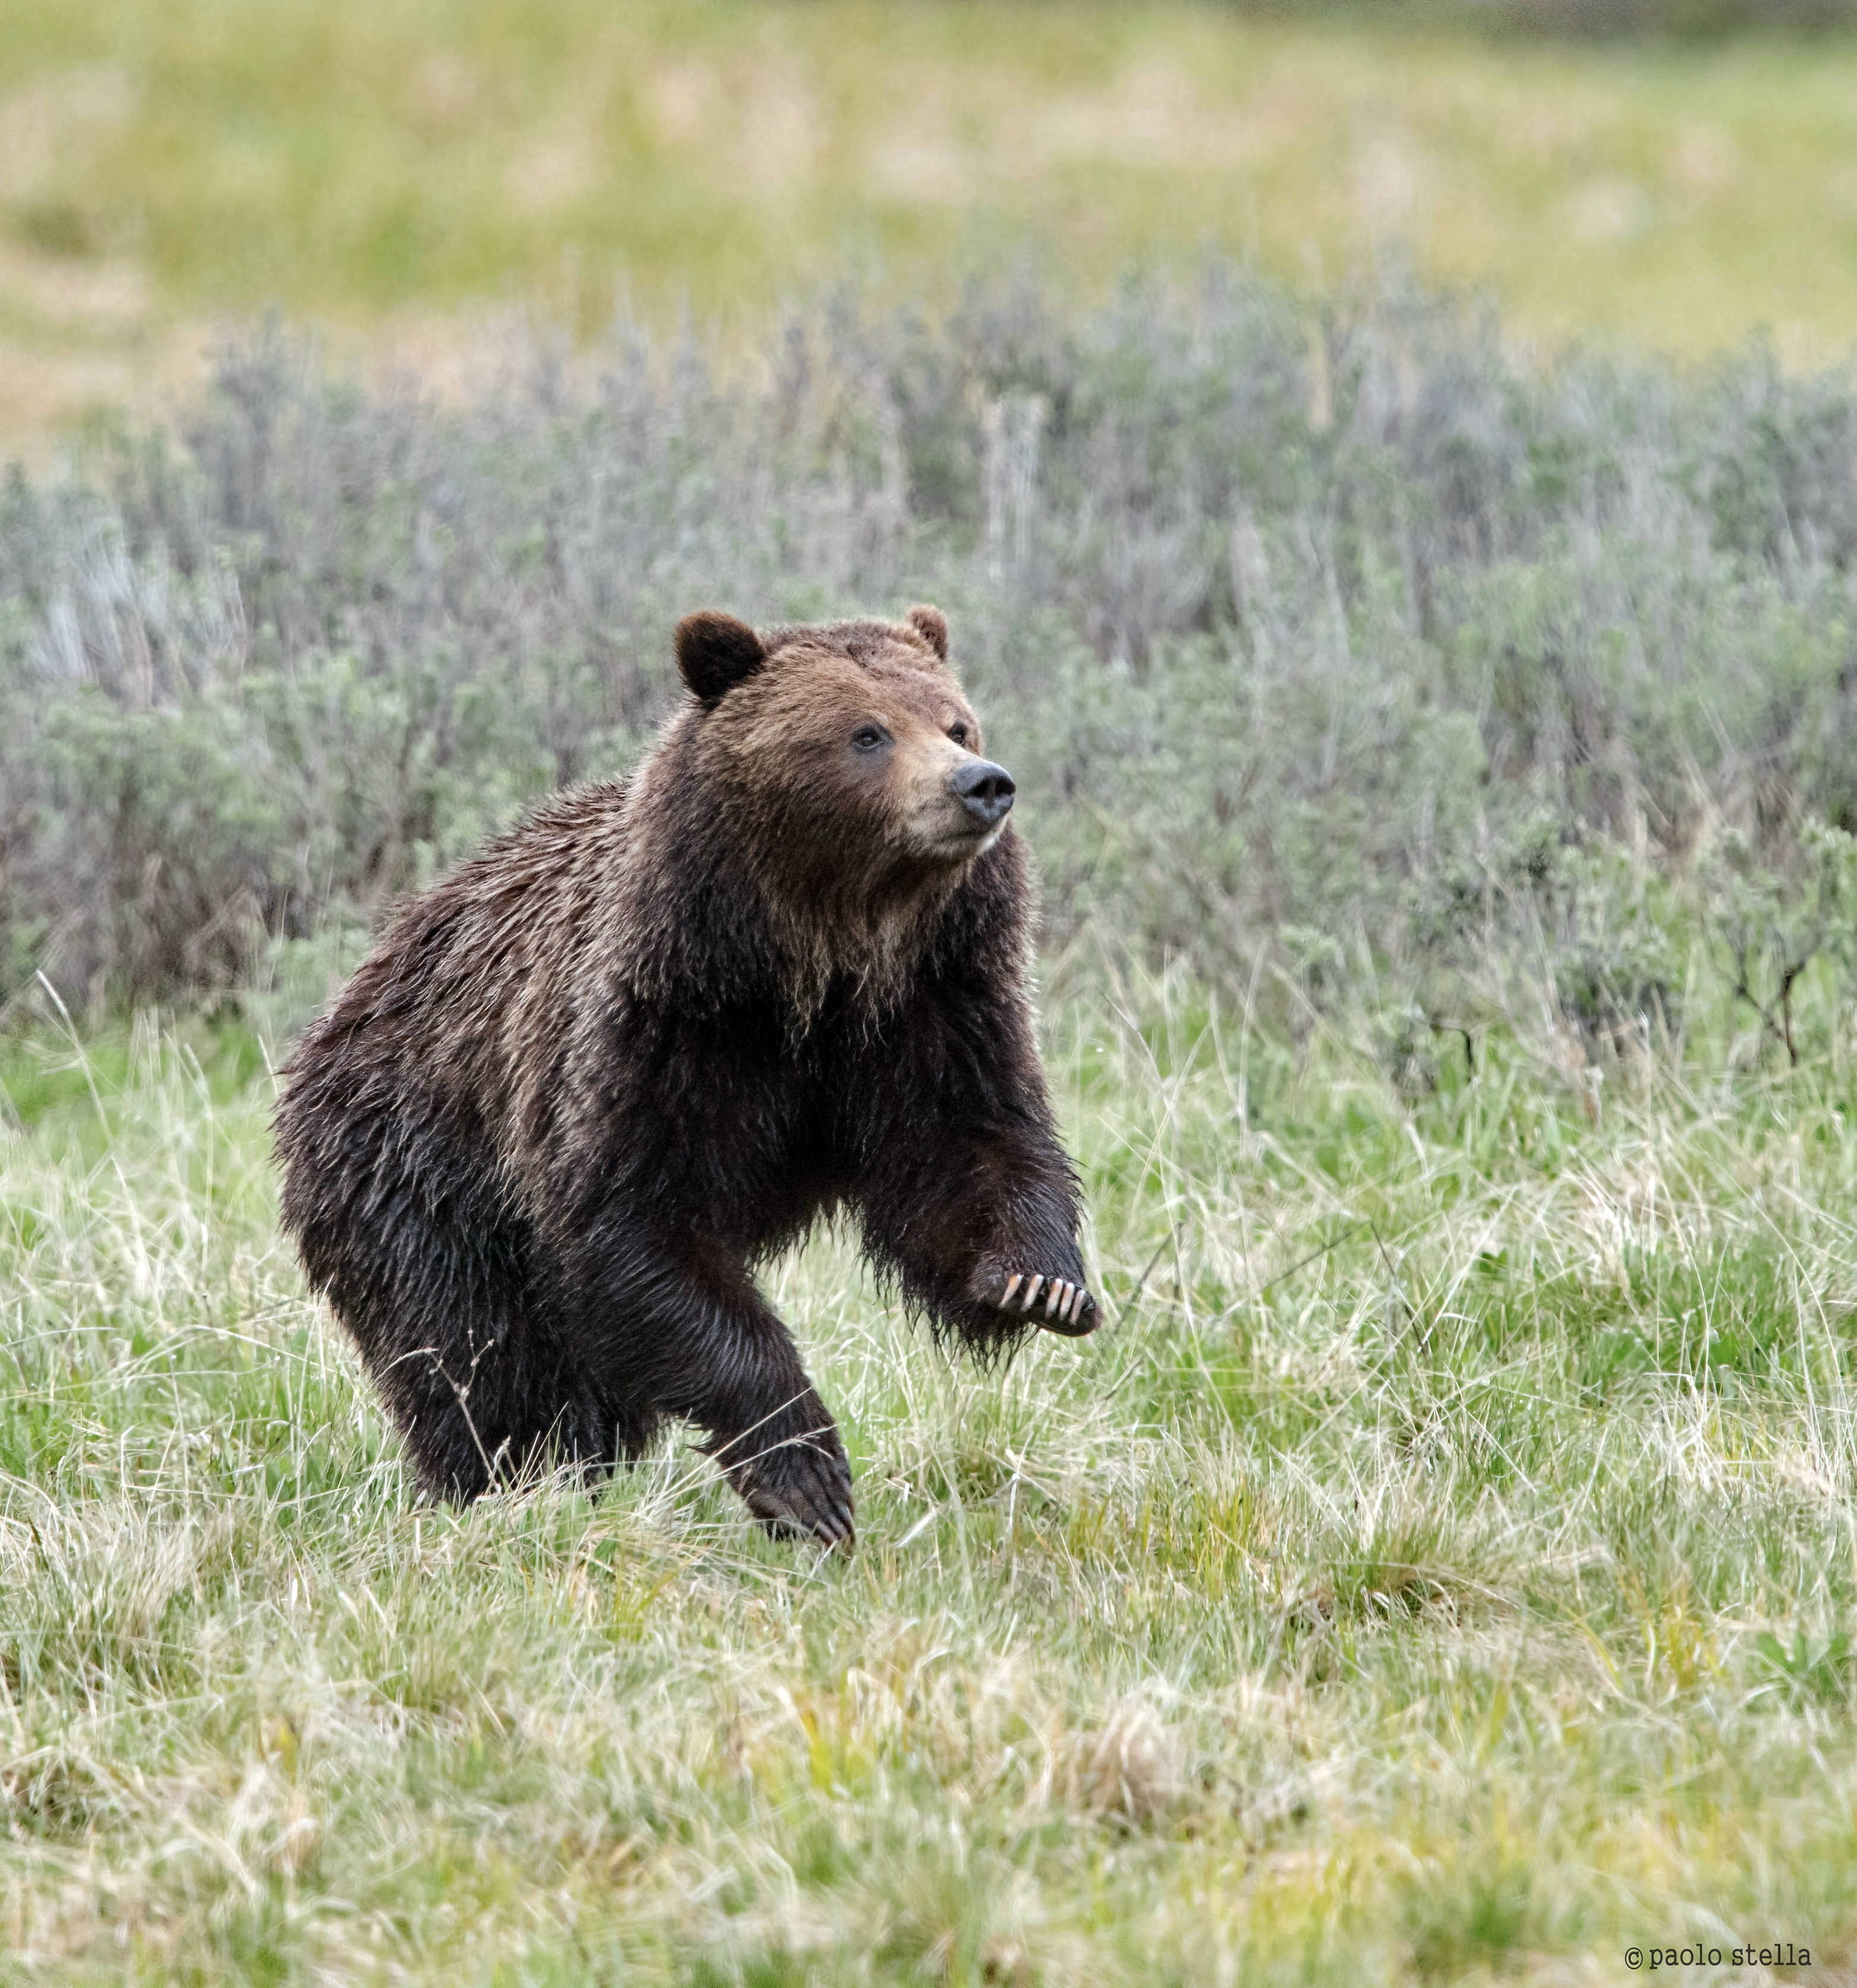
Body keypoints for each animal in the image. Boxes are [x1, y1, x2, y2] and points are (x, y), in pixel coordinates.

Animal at [274, 605, 1096, 1545]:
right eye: (867, 733)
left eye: (957, 723)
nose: (980, 784)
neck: (814, 962)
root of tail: (351, 994)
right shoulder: (653, 1034)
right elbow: (634, 1230)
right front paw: (806, 1478)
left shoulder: (931, 1007)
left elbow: (968, 1151)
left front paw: (1039, 1282)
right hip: (413, 1169)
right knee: (481, 1357)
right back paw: (503, 1484)